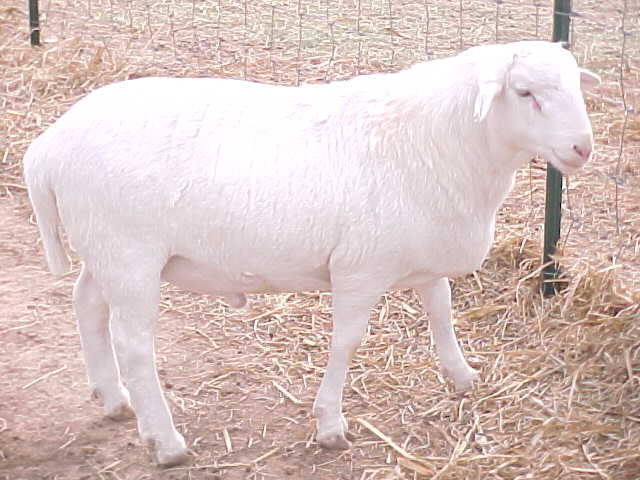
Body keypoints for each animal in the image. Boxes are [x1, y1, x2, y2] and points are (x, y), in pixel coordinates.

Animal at [21, 41, 600, 464]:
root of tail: (48, 145)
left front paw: (463, 376)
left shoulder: (421, 248)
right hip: (130, 253)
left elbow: (441, 311)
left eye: (577, 86)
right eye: (525, 92)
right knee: (135, 344)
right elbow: (347, 343)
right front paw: (330, 425)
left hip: (106, 250)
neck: (444, 141)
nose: (582, 149)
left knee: (85, 303)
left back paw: (112, 398)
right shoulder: (361, 268)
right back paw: (166, 442)